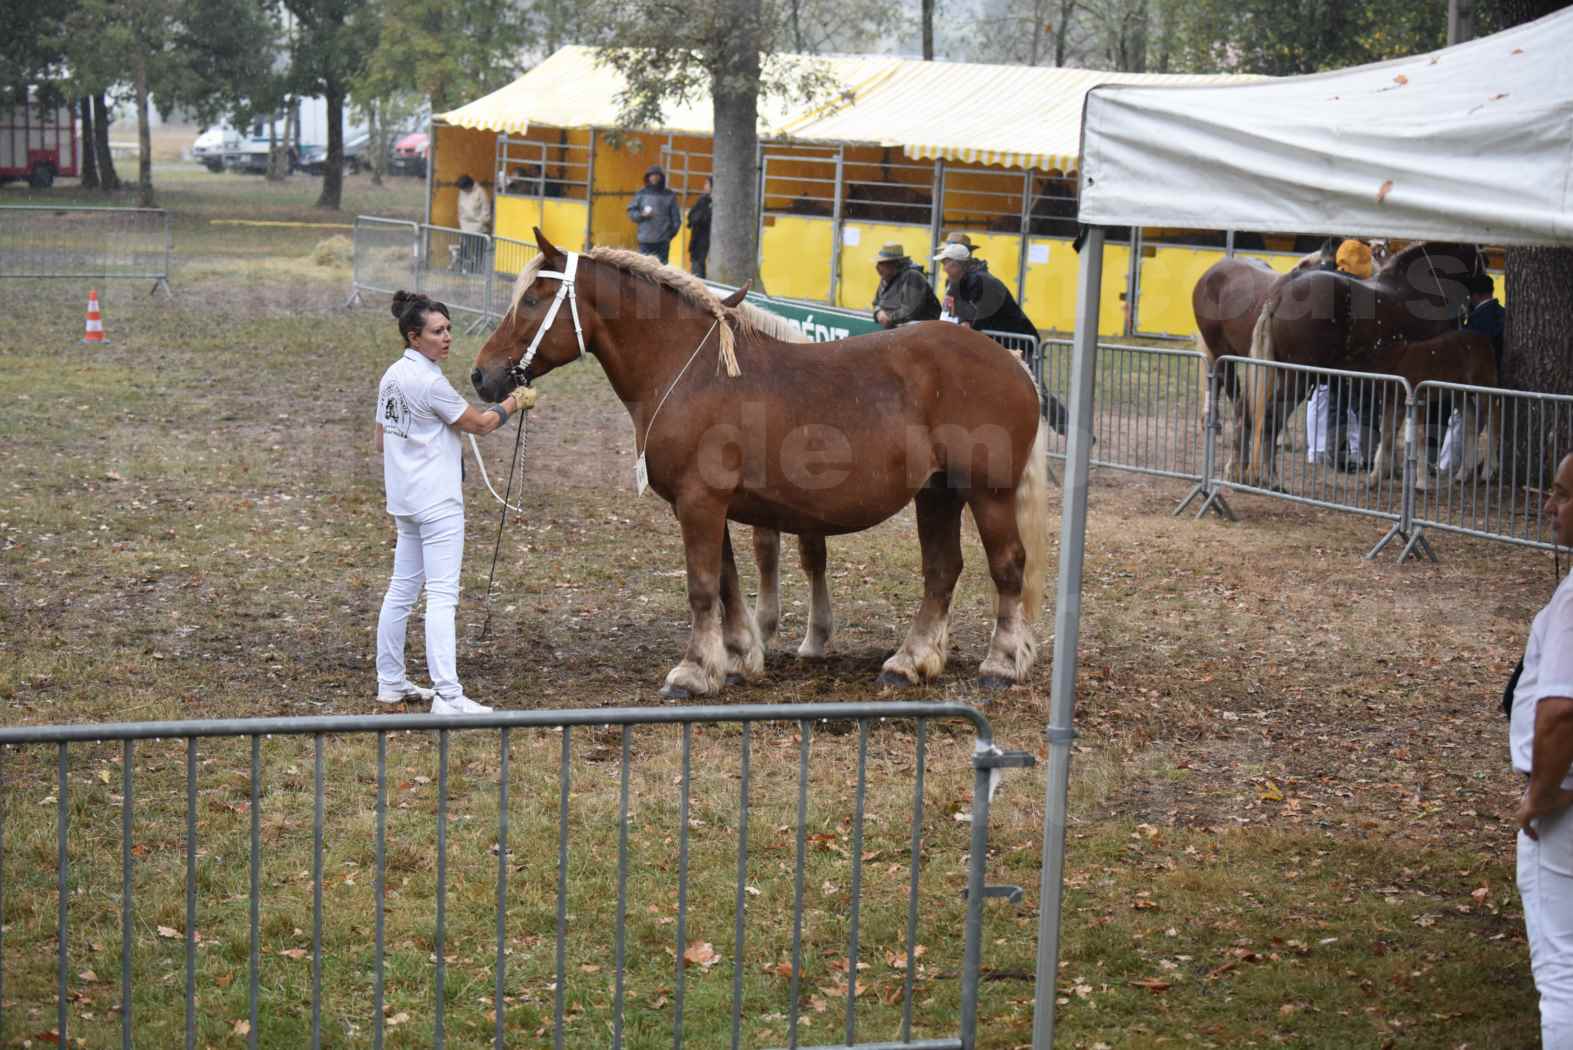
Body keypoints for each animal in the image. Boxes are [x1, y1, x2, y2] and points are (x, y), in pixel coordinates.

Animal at [471, 229, 1050, 697]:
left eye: (533, 300)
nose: (481, 375)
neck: (691, 370)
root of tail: (1011, 361)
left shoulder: (700, 503)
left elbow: (703, 586)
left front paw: (692, 671)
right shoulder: (711, 506)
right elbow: (727, 584)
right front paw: (733, 660)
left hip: (988, 494)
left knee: (1007, 567)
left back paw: (1001, 665)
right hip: (937, 494)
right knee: (941, 570)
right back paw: (910, 663)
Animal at [1239, 240, 1484, 484]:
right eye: (1480, 260)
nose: (1484, 286)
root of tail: (1279, 295)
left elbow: (1390, 427)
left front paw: (1383, 471)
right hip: (1297, 377)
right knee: (1270, 418)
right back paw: (1271, 478)